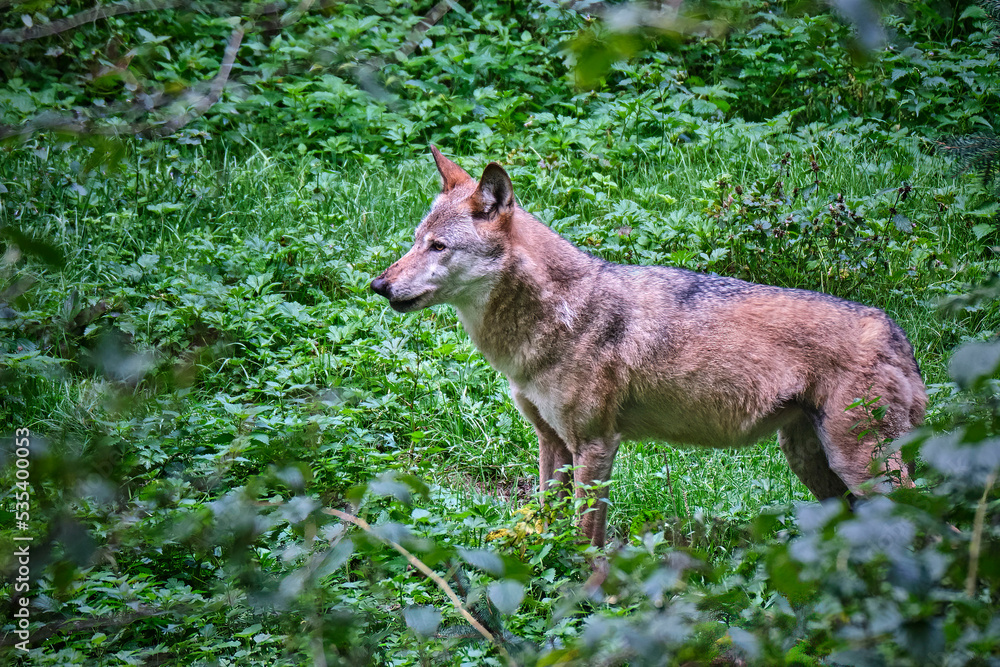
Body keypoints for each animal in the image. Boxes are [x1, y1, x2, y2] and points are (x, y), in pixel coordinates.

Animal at [370, 147, 927, 547]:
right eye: (415, 240)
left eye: (438, 247)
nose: (378, 285)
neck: (553, 317)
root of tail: (896, 331)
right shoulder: (552, 443)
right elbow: (549, 522)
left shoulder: (596, 445)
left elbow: (584, 535)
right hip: (814, 464)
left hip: (860, 467)